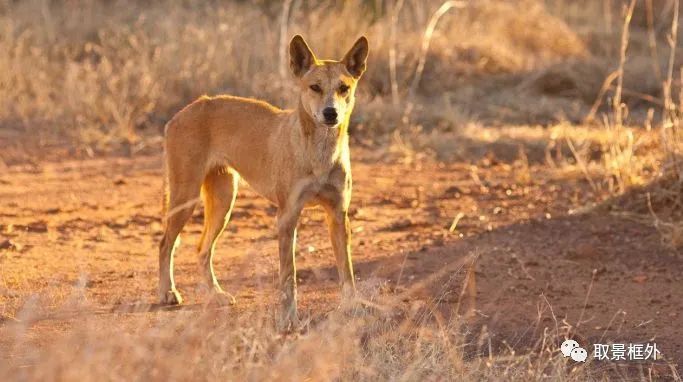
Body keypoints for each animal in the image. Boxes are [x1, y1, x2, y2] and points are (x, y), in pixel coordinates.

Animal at [158, 35, 368, 328]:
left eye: (343, 88)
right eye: (315, 87)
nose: (331, 113)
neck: (320, 155)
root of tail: (186, 109)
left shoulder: (338, 215)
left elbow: (346, 272)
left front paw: (353, 307)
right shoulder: (287, 216)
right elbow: (288, 277)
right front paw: (288, 317)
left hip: (223, 203)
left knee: (202, 249)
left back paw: (215, 294)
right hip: (185, 199)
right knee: (165, 244)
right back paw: (168, 292)